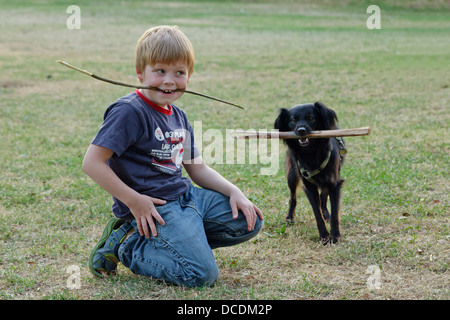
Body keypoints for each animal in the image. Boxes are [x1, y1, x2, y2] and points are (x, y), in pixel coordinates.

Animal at [272, 101, 346, 244]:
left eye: (311, 118)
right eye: (293, 120)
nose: (301, 131)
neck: (311, 152)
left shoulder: (334, 183)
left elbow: (334, 212)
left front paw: (335, 236)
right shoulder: (309, 186)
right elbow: (317, 213)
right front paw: (324, 236)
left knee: (323, 196)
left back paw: (326, 213)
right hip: (292, 175)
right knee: (293, 197)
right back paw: (290, 217)